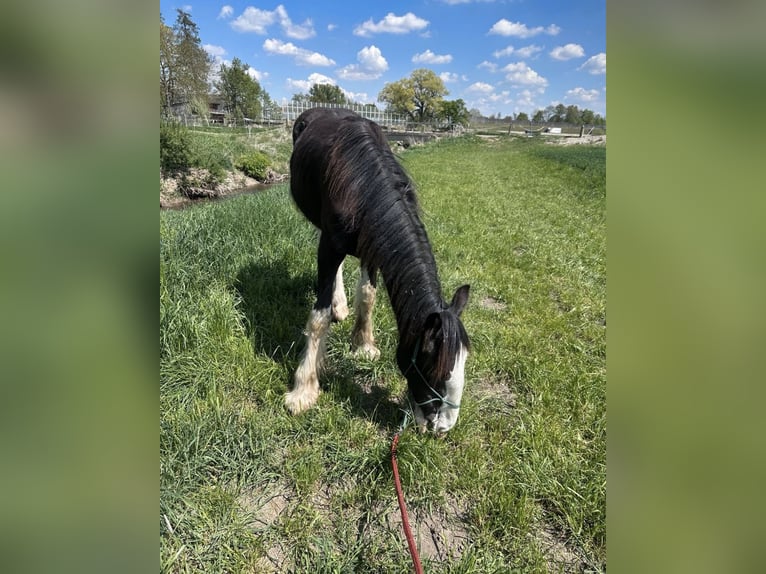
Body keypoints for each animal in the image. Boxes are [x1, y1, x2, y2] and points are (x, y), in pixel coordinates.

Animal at [285, 108, 470, 434]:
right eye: (433, 369)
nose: (441, 428)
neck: (363, 185)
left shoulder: (374, 246)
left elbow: (368, 296)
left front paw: (363, 345)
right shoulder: (329, 245)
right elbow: (318, 318)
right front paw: (303, 390)